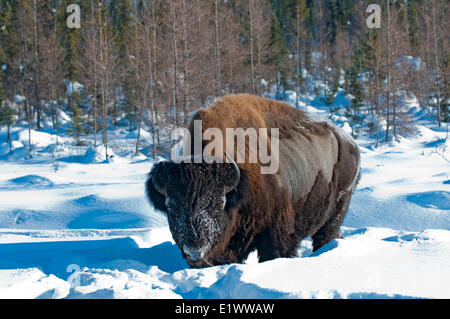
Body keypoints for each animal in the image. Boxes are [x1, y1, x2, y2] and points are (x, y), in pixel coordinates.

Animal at [146, 94, 360, 268]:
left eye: (218, 204)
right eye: (170, 207)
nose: (194, 251)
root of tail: (349, 142)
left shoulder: (276, 234)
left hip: (336, 211)